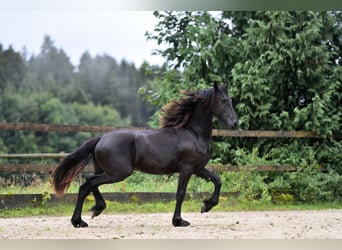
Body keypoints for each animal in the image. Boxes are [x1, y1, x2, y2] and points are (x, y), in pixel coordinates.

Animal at [51, 83, 238, 228]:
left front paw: (206, 206)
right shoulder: (186, 169)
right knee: (87, 184)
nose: (235, 123)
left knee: (90, 184)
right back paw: (79, 221)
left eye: (230, 100)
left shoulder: (199, 168)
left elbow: (218, 181)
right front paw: (179, 221)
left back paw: (93, 212)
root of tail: (100, 138)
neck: (193, 134)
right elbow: (180, 193)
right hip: (118, 173)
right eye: (223, 100)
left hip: (105, 171)